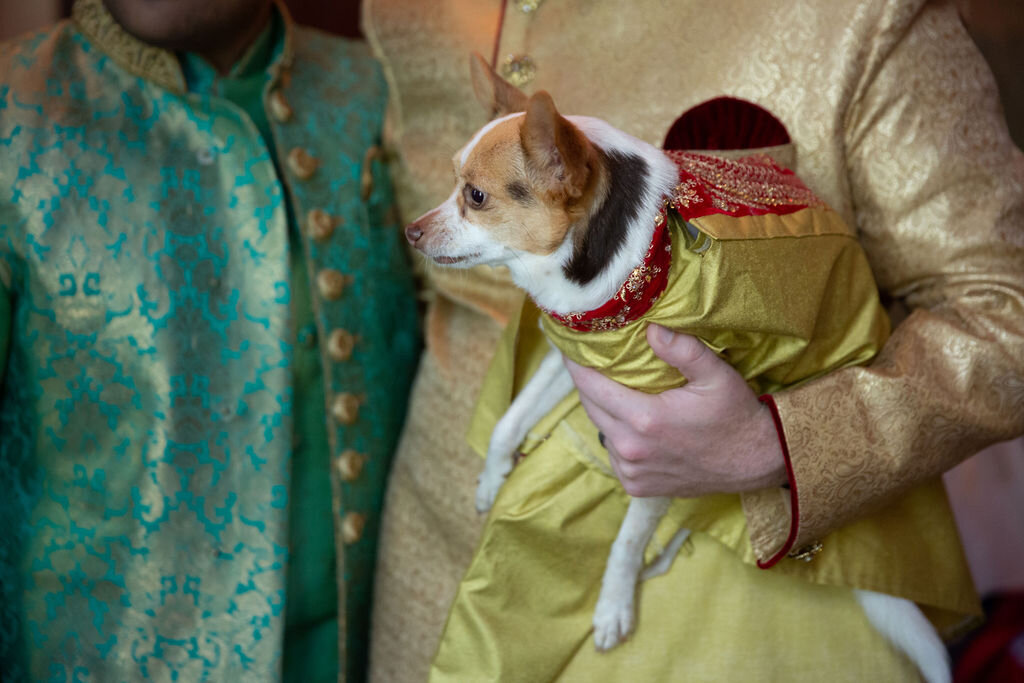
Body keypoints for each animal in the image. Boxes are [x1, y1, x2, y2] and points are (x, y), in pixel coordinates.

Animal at [403, 54, 946, 683]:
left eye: (476, 195)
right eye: (452, 184)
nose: (410, 230)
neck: (642, 256)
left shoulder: (664, 438)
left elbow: (627, 537)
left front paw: (613, 604)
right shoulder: (579, 356)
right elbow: (509, 420)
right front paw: (493, 478)